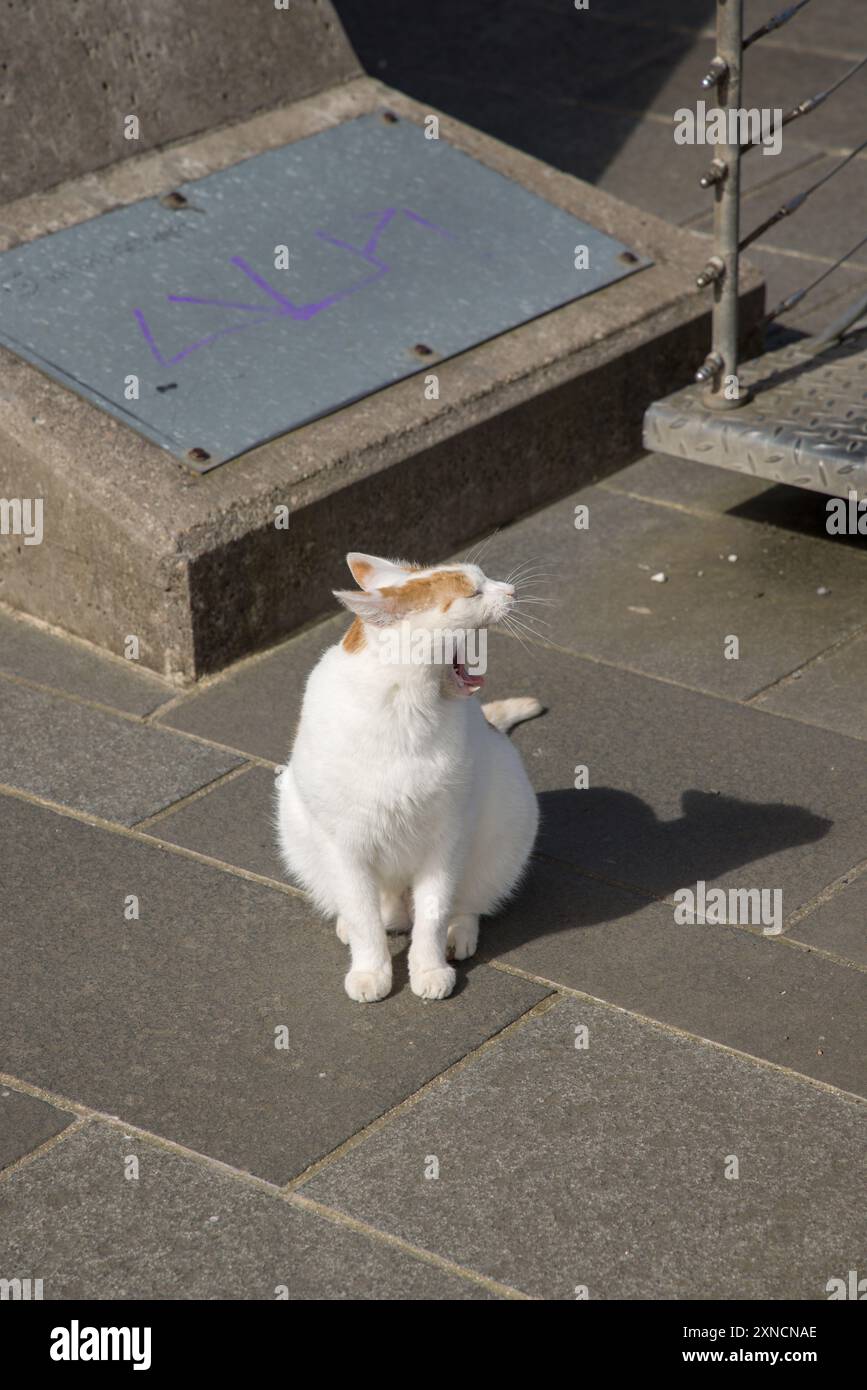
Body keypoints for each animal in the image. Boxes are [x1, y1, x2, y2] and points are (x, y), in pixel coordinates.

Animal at [276, 550, 541, 1000]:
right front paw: (371, 970)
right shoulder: (345, 847)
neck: (404, 705)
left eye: (484, 580)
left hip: (509, 819)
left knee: (466, 903)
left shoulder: (446, 841)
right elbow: (364, 919)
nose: (512, 591)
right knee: (372, 911)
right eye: (473, 592)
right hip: (296, 822)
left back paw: (458, 934)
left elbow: (433, 915)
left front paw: (429, 968)